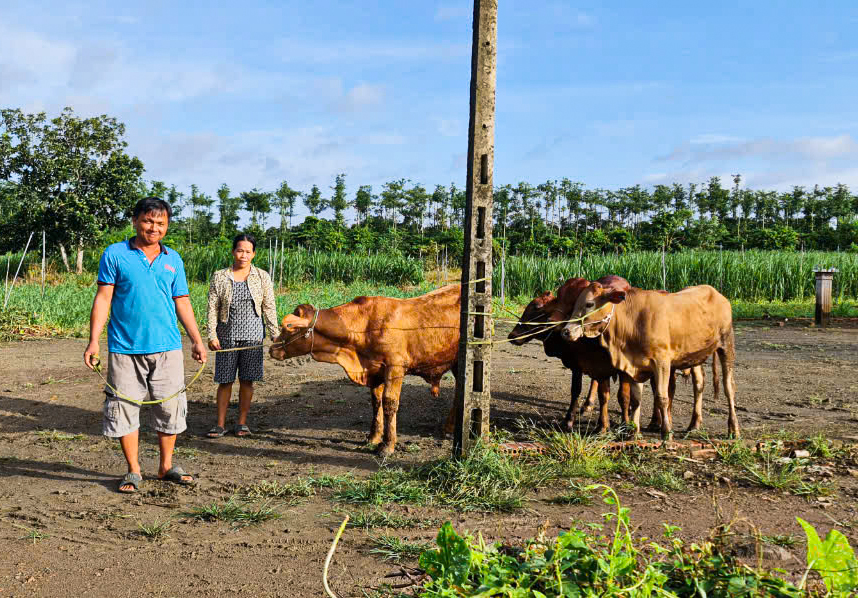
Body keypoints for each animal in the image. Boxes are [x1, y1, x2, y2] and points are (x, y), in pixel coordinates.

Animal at [268, 284, 458, 458]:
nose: (271, 348)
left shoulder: (395, 367)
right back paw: (449, 428)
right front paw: (373, 437)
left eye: (289, 327)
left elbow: (389, 403)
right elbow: (376, 402)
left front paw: (387, 445)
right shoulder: (374, 371)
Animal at [560, 284, 740, 438]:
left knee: (729, 387)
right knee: (699, 383)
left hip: (726, 344)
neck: (633, 321)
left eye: (589, 303)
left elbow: (662, 397)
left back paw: (734, 429)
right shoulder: (635, 365)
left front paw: (666, 434)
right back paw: (694, 424)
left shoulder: (662, 362)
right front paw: (634, 432)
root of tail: (716, 294)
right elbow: (635, 399)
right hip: (695, 355)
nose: (566, 331)